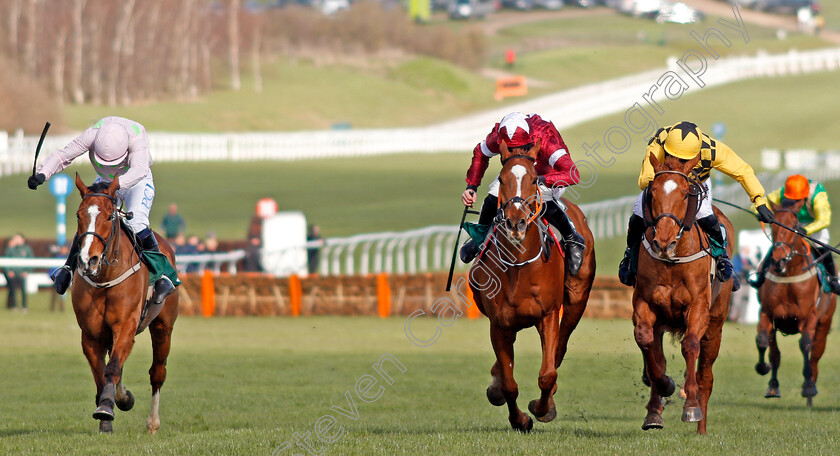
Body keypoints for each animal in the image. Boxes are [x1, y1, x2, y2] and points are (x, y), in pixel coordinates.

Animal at [70, 174, 179, 432]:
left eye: (110, 215)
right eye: (79, 215)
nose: (88, 260)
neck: (105, 277)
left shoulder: (126, 325)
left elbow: (112, 367)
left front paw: (109, 405)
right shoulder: (90, 334)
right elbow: (102, 372)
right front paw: (109, 411)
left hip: (163, 326)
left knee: (157, 372)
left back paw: (152, 422)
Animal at [470, 142, 592, 432]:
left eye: (534, 179)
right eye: (502, 179)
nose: (516, 223)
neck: (518, 265)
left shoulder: (548, 315)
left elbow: (547, 374)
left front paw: (542, 409)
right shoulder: (499, 323)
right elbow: (509, 383)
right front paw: (520, 419)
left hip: (576, 301)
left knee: (560, 347)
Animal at [632, 154, 732, 434]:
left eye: (686, 193)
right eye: (653, 191)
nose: (663, 243)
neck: (672, 261)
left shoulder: (698, 306)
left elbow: (690, 345)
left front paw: (691, 407)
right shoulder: (645, 303)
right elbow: (647, 344)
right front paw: (663, 388)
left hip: (716, 325)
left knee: (705, 374)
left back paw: (701, 427)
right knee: (657, 354)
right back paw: (655, 409)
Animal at [756, 200, 832, 406]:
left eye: (794, 227)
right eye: (773, 226)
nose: (778, 261)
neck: (789, 274)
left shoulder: (810, 316)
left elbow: (805, 344)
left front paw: (808, 387)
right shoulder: (768, 314)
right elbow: (764, 343)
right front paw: (765, 372)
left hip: (824, 323)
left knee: (815, 355)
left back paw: (811, 391)